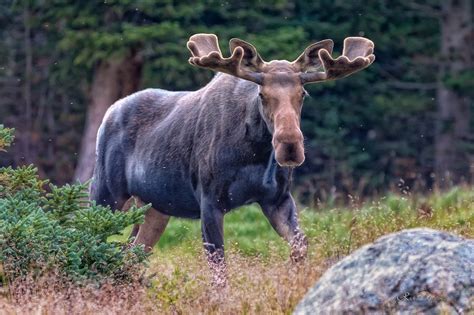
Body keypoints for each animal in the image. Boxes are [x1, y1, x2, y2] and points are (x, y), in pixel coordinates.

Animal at [90, 33, 376, 278]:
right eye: (262, 94)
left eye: (303, 93)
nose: (290, 146)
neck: (256, 153)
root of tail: (107, 114)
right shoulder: (209, 201)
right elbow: (219, 271)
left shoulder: (277, 199)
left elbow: (300, 247)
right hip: (106, 192)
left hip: (155, 207)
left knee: (132, 252)